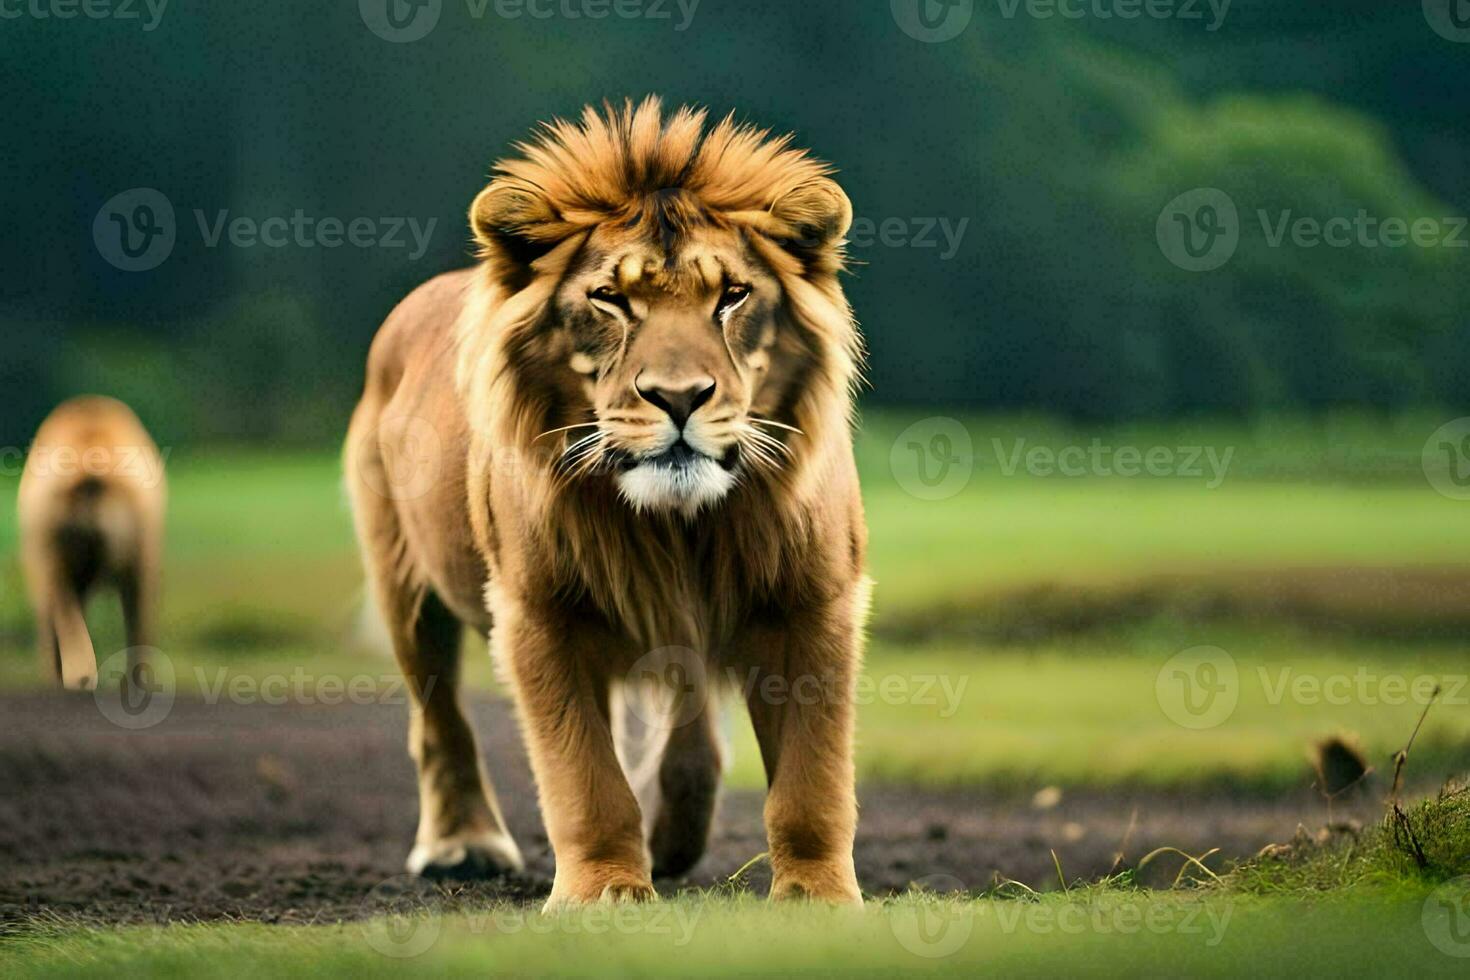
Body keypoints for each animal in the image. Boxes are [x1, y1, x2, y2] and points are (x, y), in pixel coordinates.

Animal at [343, 95, 864, 910]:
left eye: (732, 296)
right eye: (611, 300)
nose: (679, 398)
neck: (681, 526)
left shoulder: (813, 603)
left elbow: (813, 782)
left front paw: (818, 898)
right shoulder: (540, 614)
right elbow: (586, 779)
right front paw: (605, 893)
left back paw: (676, 836)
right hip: (405, 585)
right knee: (439, 718)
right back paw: (464, 846)